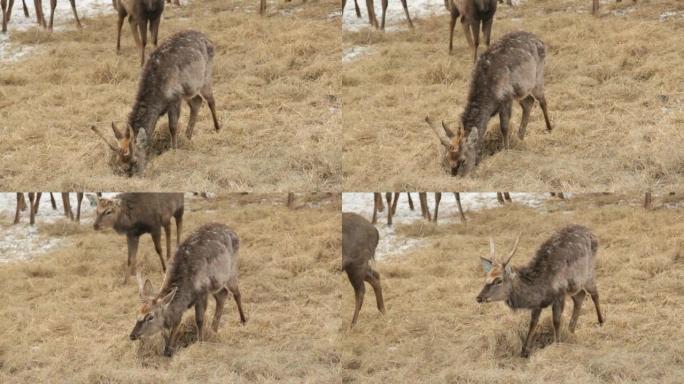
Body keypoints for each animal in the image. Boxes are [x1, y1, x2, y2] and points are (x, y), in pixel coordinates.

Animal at [91, 30, 222, 177]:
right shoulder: (177, 95)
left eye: (134, 161)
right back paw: (187, 136)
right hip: (188, 89)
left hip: (205, 75)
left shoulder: (175, 97)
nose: (131, 175)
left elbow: (172, 126)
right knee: (197, 101)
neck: (157, 99)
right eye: (118, 162)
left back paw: (217, 128)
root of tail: (208, 39)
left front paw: (174, 150)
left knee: (210, 100)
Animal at [130, 222, 247, 356]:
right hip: (216, 283)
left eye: (150, 317)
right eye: (137, 313)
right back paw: (213, 329)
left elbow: (199, 320)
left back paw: (243, 320)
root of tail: (233, 232)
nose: (132, 335)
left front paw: (200, 342)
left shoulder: (202, 292)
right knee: (223, 294)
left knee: (236, 293)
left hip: (231, 269)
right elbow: (172, 324)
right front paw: (168, 350)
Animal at [424, 31, 552, 177]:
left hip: (537, 77)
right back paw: (520, 137)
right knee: (528, 101)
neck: (488, 97)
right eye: (445, 159)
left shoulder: (506, 98)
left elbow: (504, 127)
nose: (456, 176)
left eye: (462, 160)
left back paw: (549, 128)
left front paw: (506, 151)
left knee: (542, 100)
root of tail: (539, 40)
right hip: (520, 89)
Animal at [476, 225, 604, 356]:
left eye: (499, 280)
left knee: (594, 293)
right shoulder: (538, 304)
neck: (540, 288)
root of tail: (592, 233)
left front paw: (557, 344)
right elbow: (533, 323)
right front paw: (524, 351)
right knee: (580, 295)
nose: (479, 297)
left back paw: (600, 321)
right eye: (486, 277)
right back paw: (571, 329)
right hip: (574, 286)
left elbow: (556, 321)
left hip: (588, 273)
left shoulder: (559, 294)